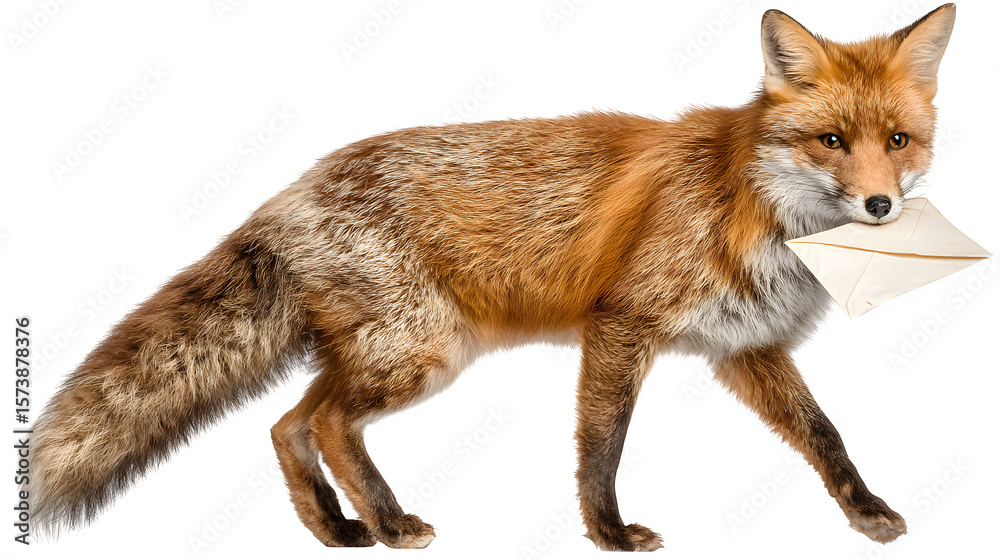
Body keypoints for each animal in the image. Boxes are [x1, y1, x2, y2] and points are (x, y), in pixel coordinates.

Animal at [28, 4, 957, 552]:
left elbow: (826, 435)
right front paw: (607, 533)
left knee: (288, 424)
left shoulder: (747, 349)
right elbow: (601, 446)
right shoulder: (620, 325)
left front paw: (865, 512)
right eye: (831, 142)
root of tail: (288, 193)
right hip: (421, 355)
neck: (753, 208)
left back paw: (337, 527)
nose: (879, 204)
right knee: (324, 423)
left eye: (898, 142)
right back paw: (389, 522)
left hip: (385, 353)